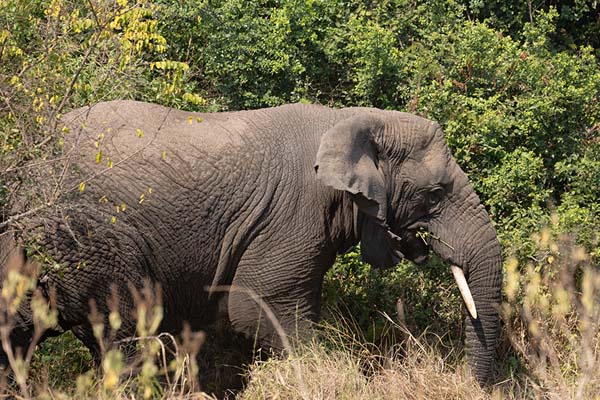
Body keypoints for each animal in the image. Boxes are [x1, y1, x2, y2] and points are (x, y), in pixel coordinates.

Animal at [0, 100, 502, 382]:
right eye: (435, 194)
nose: (472, 383)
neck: (354, 120)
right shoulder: (292, 213)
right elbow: (261, 308)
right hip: (80, 233)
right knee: (125, 335)